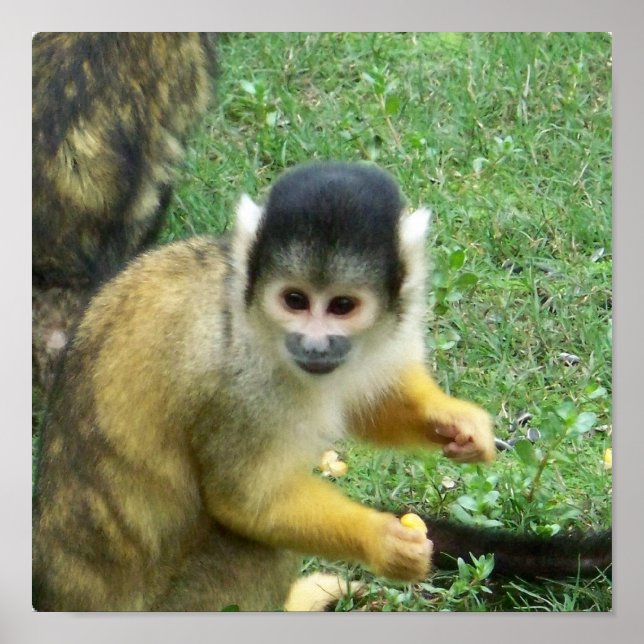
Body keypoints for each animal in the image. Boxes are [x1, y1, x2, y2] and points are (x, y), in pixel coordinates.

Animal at [33, 160, 502, 611]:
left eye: (342, 306)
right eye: (294, 300)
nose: (314, 345)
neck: (251, 313)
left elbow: (368, 403)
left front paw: (454, 419)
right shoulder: (239, 381)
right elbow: (247, 502)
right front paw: (381, 541)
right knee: (260, 549)